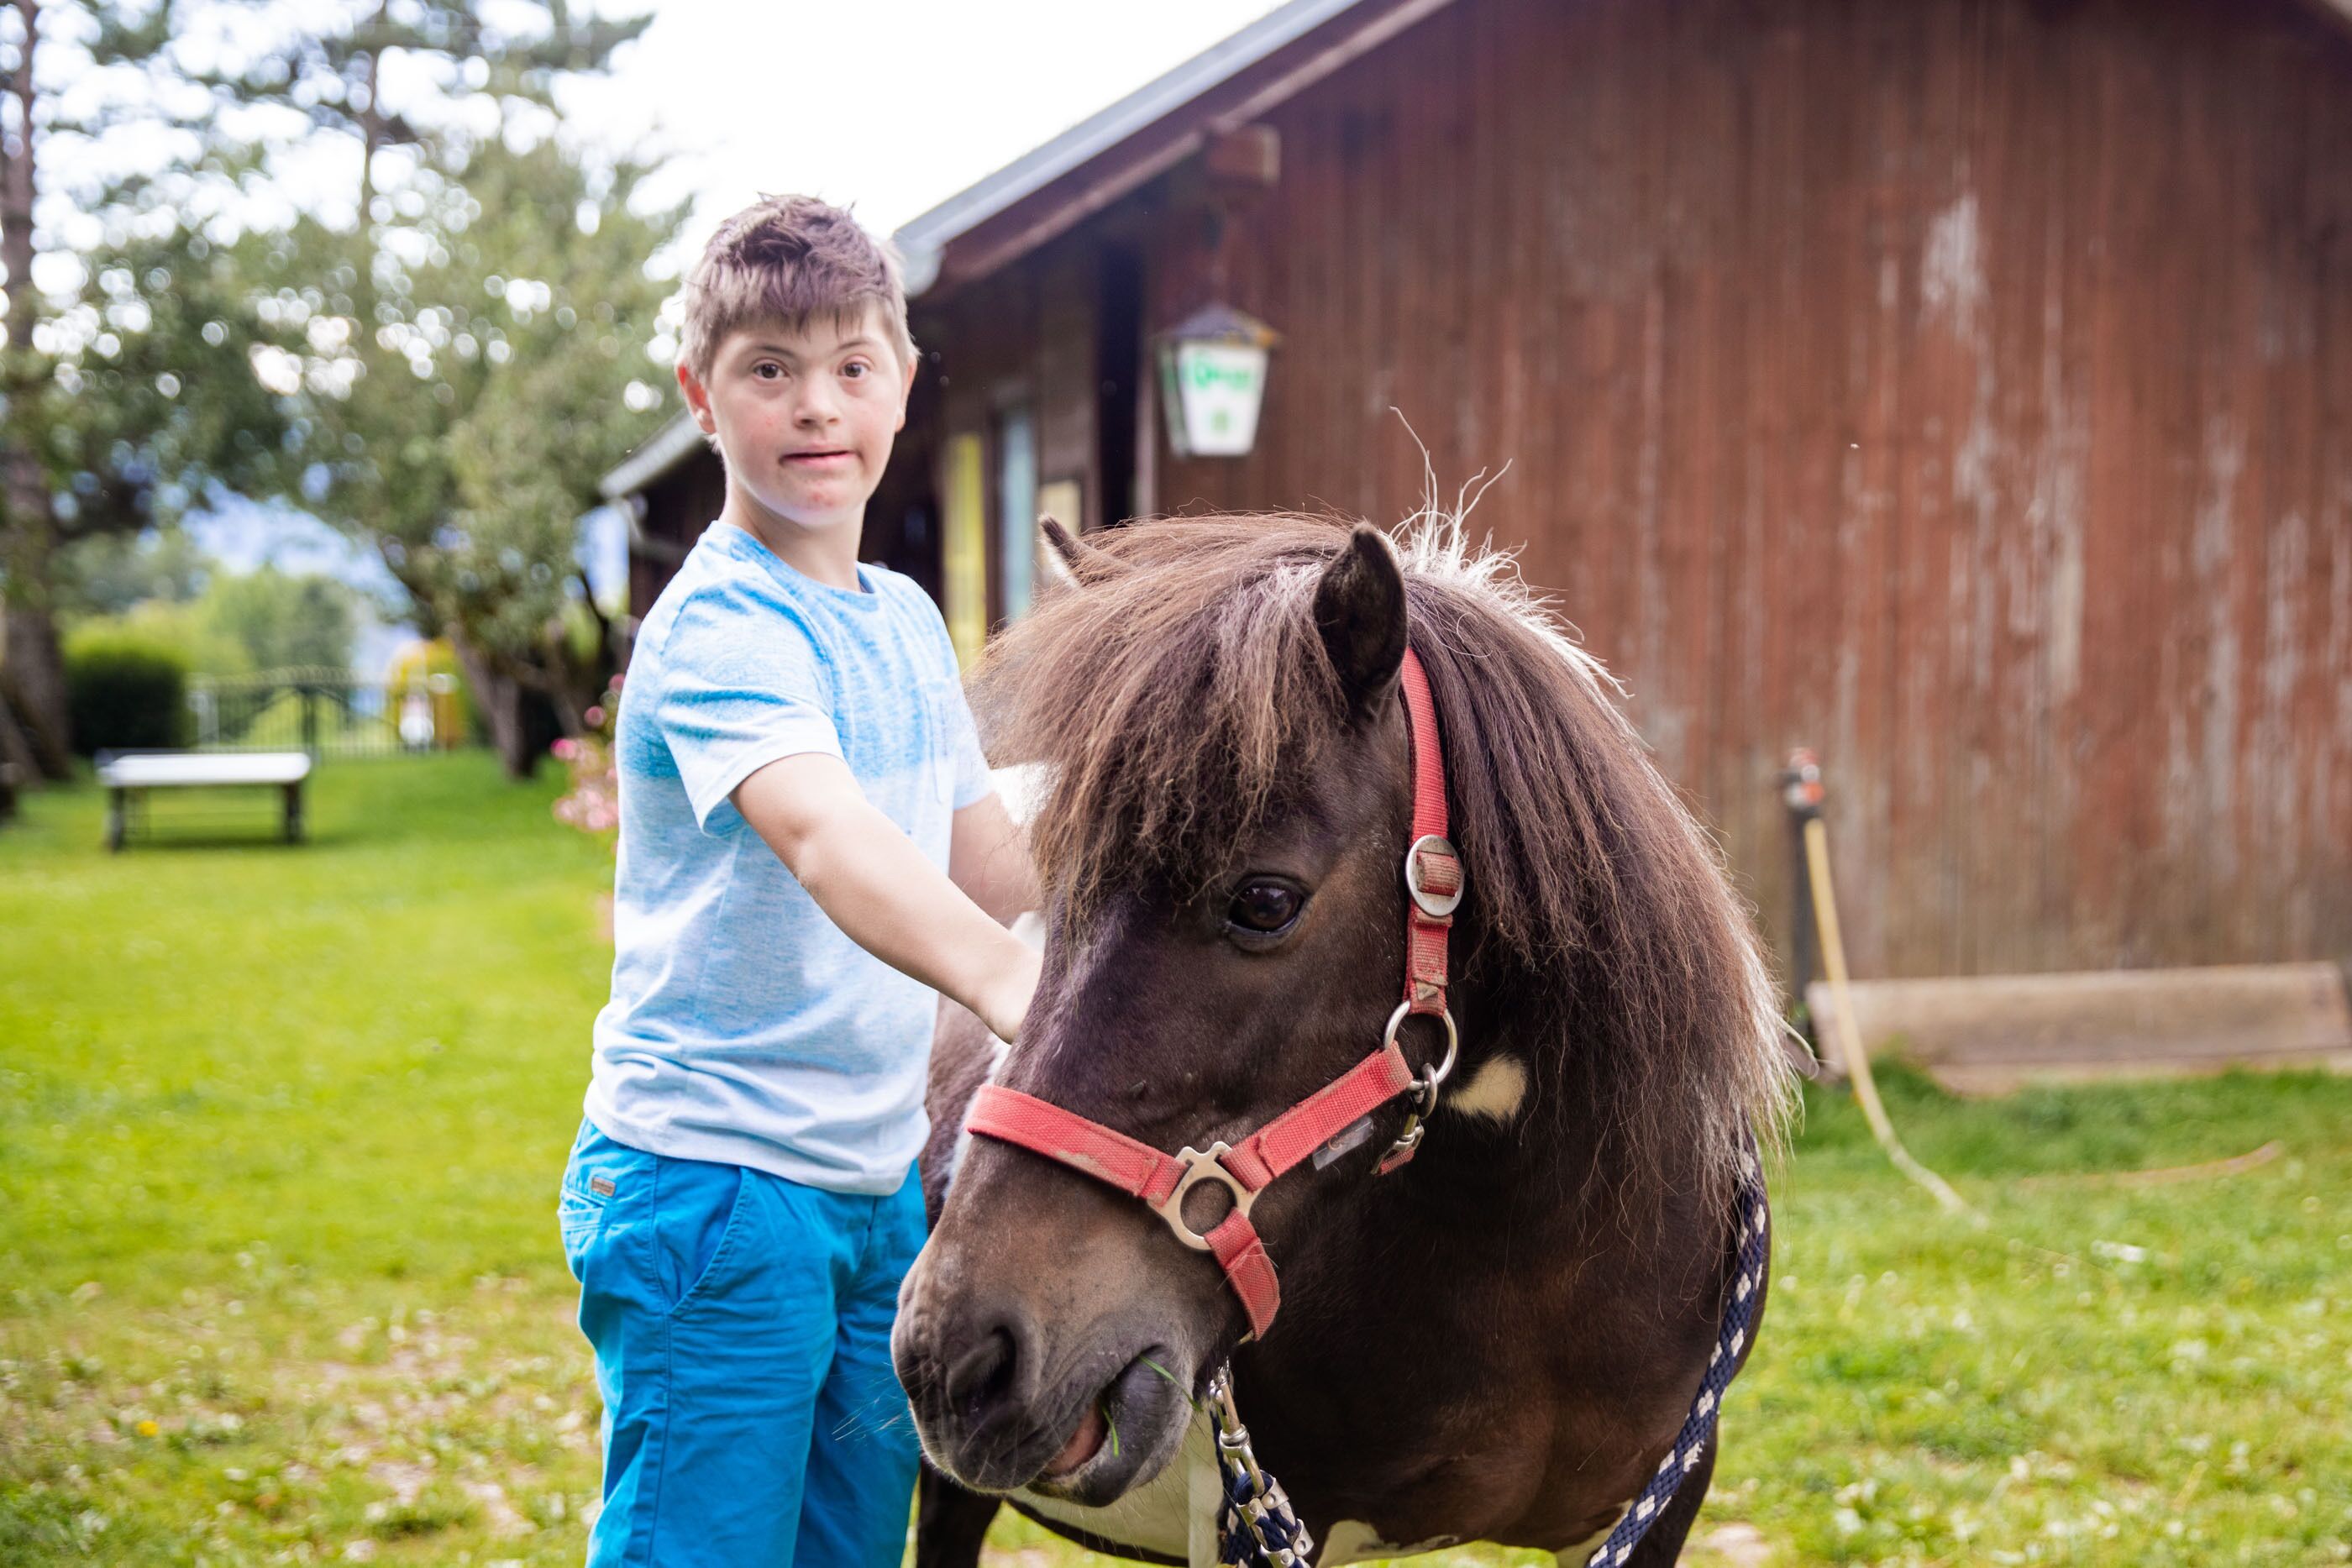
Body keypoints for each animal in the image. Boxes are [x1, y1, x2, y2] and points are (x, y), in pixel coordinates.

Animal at [894, 511, 1794, 1567]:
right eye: (1053, 888)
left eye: (1263, 900)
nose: (956, 1355)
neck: (1545, 1274)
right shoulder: (1267, 1523)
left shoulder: (1657, 1504)